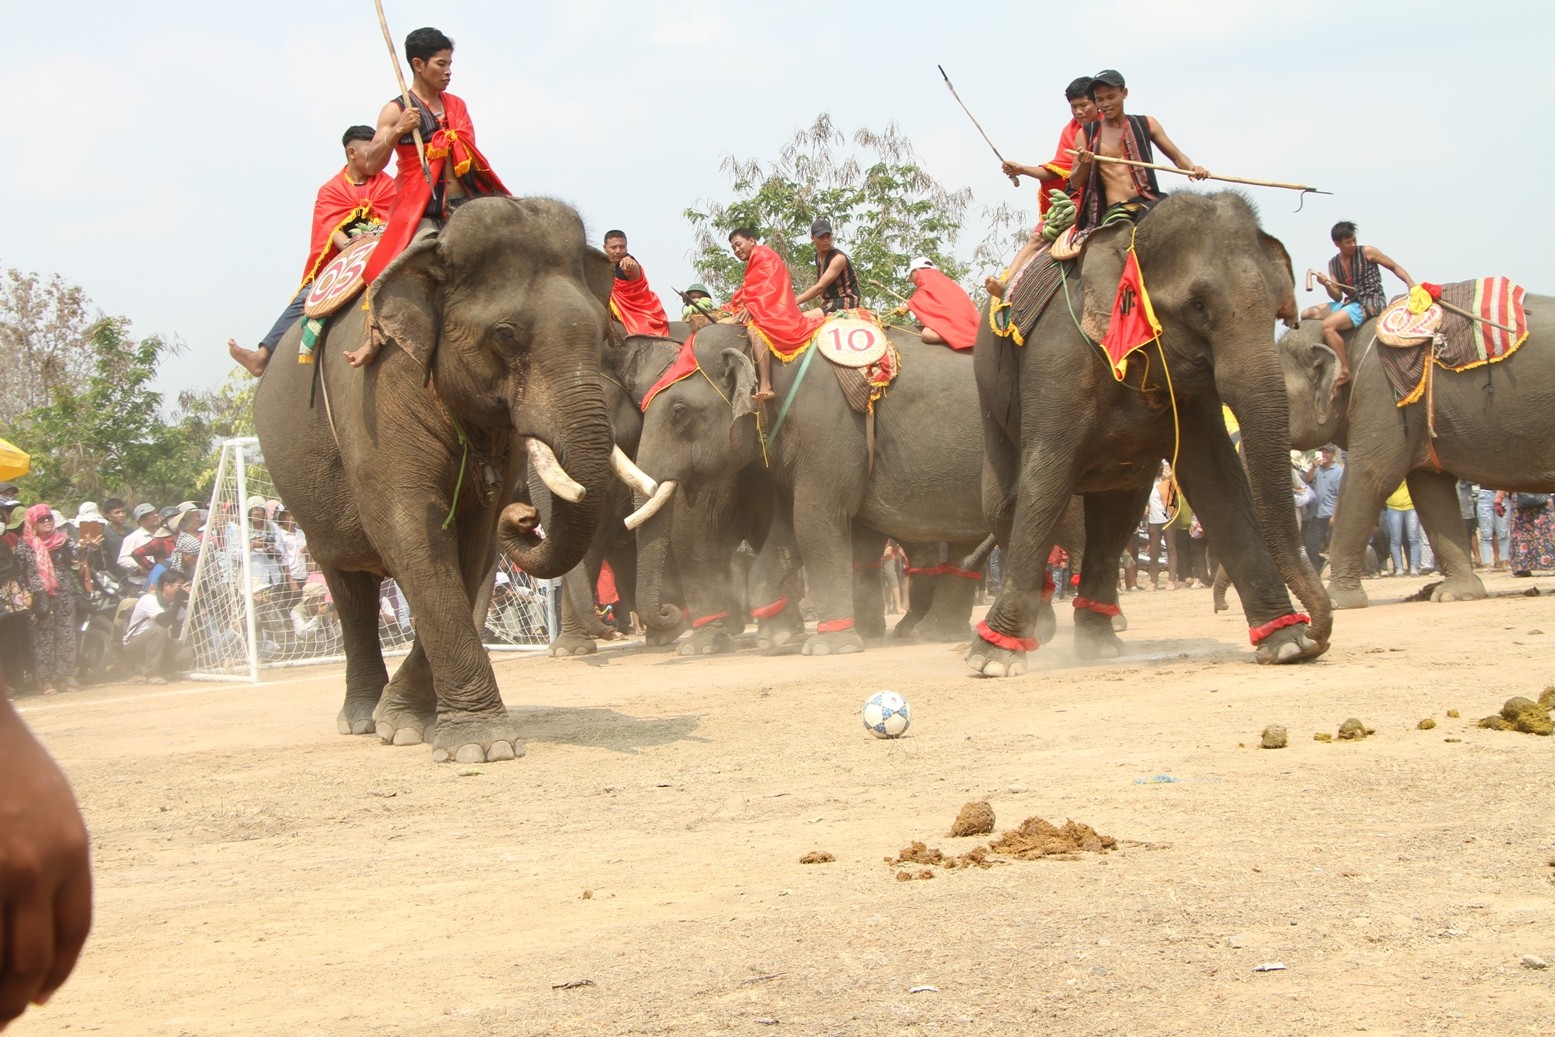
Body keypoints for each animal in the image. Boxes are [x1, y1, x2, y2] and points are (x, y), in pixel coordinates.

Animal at [253, 196, 612, 761]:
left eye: (601, 332)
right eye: (505, 335)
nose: (524, 515)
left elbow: (470, 545)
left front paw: (406, 721)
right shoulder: (374, 394)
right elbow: (413, 530)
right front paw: (482, 747)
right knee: (346, 582)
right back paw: (360, 718)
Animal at [964, 192, 1331, 680]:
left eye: (1277, 308)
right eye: (1198, 306)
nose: (1318, 634)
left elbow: (1218, 479)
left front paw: (1287, 645)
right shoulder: (1058, 363)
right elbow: (1044, 482)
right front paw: (993, 660)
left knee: (1117, 512)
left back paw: (1098, 644)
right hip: (990, 389)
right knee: (1005, 503)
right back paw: (1042, 625)